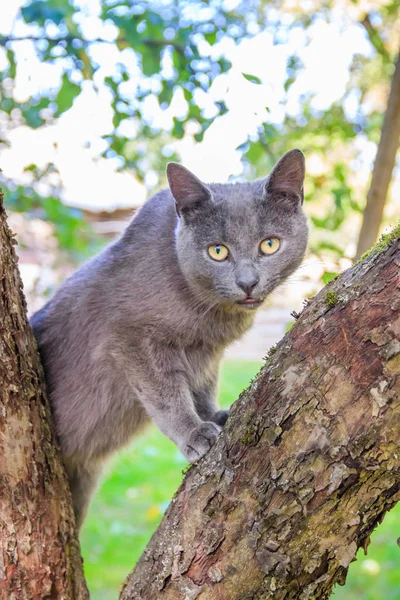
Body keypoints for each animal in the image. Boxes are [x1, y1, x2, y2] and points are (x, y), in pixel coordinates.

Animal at [30, 148, 310, 528]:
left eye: (270, 245)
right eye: (217, 251)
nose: (248, 282)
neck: (209, 314)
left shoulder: (206, 353)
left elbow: (201, 385)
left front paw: (213, 416)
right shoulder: (130, 338)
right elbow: (166, 393)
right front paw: (194, 432)